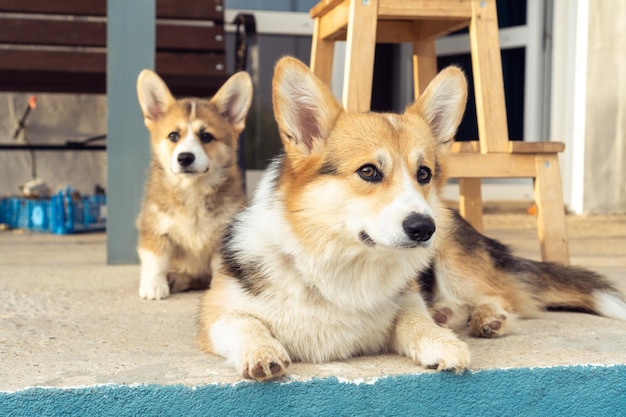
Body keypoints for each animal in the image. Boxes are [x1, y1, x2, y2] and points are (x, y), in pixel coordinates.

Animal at [136, 70, 251, 300]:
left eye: (206, 137)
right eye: (173, 135)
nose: (185, 158)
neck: (192, 191)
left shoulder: (222, 238)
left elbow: (220, 267)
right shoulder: (156, 228)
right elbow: (156, 261)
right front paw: (154, 287)